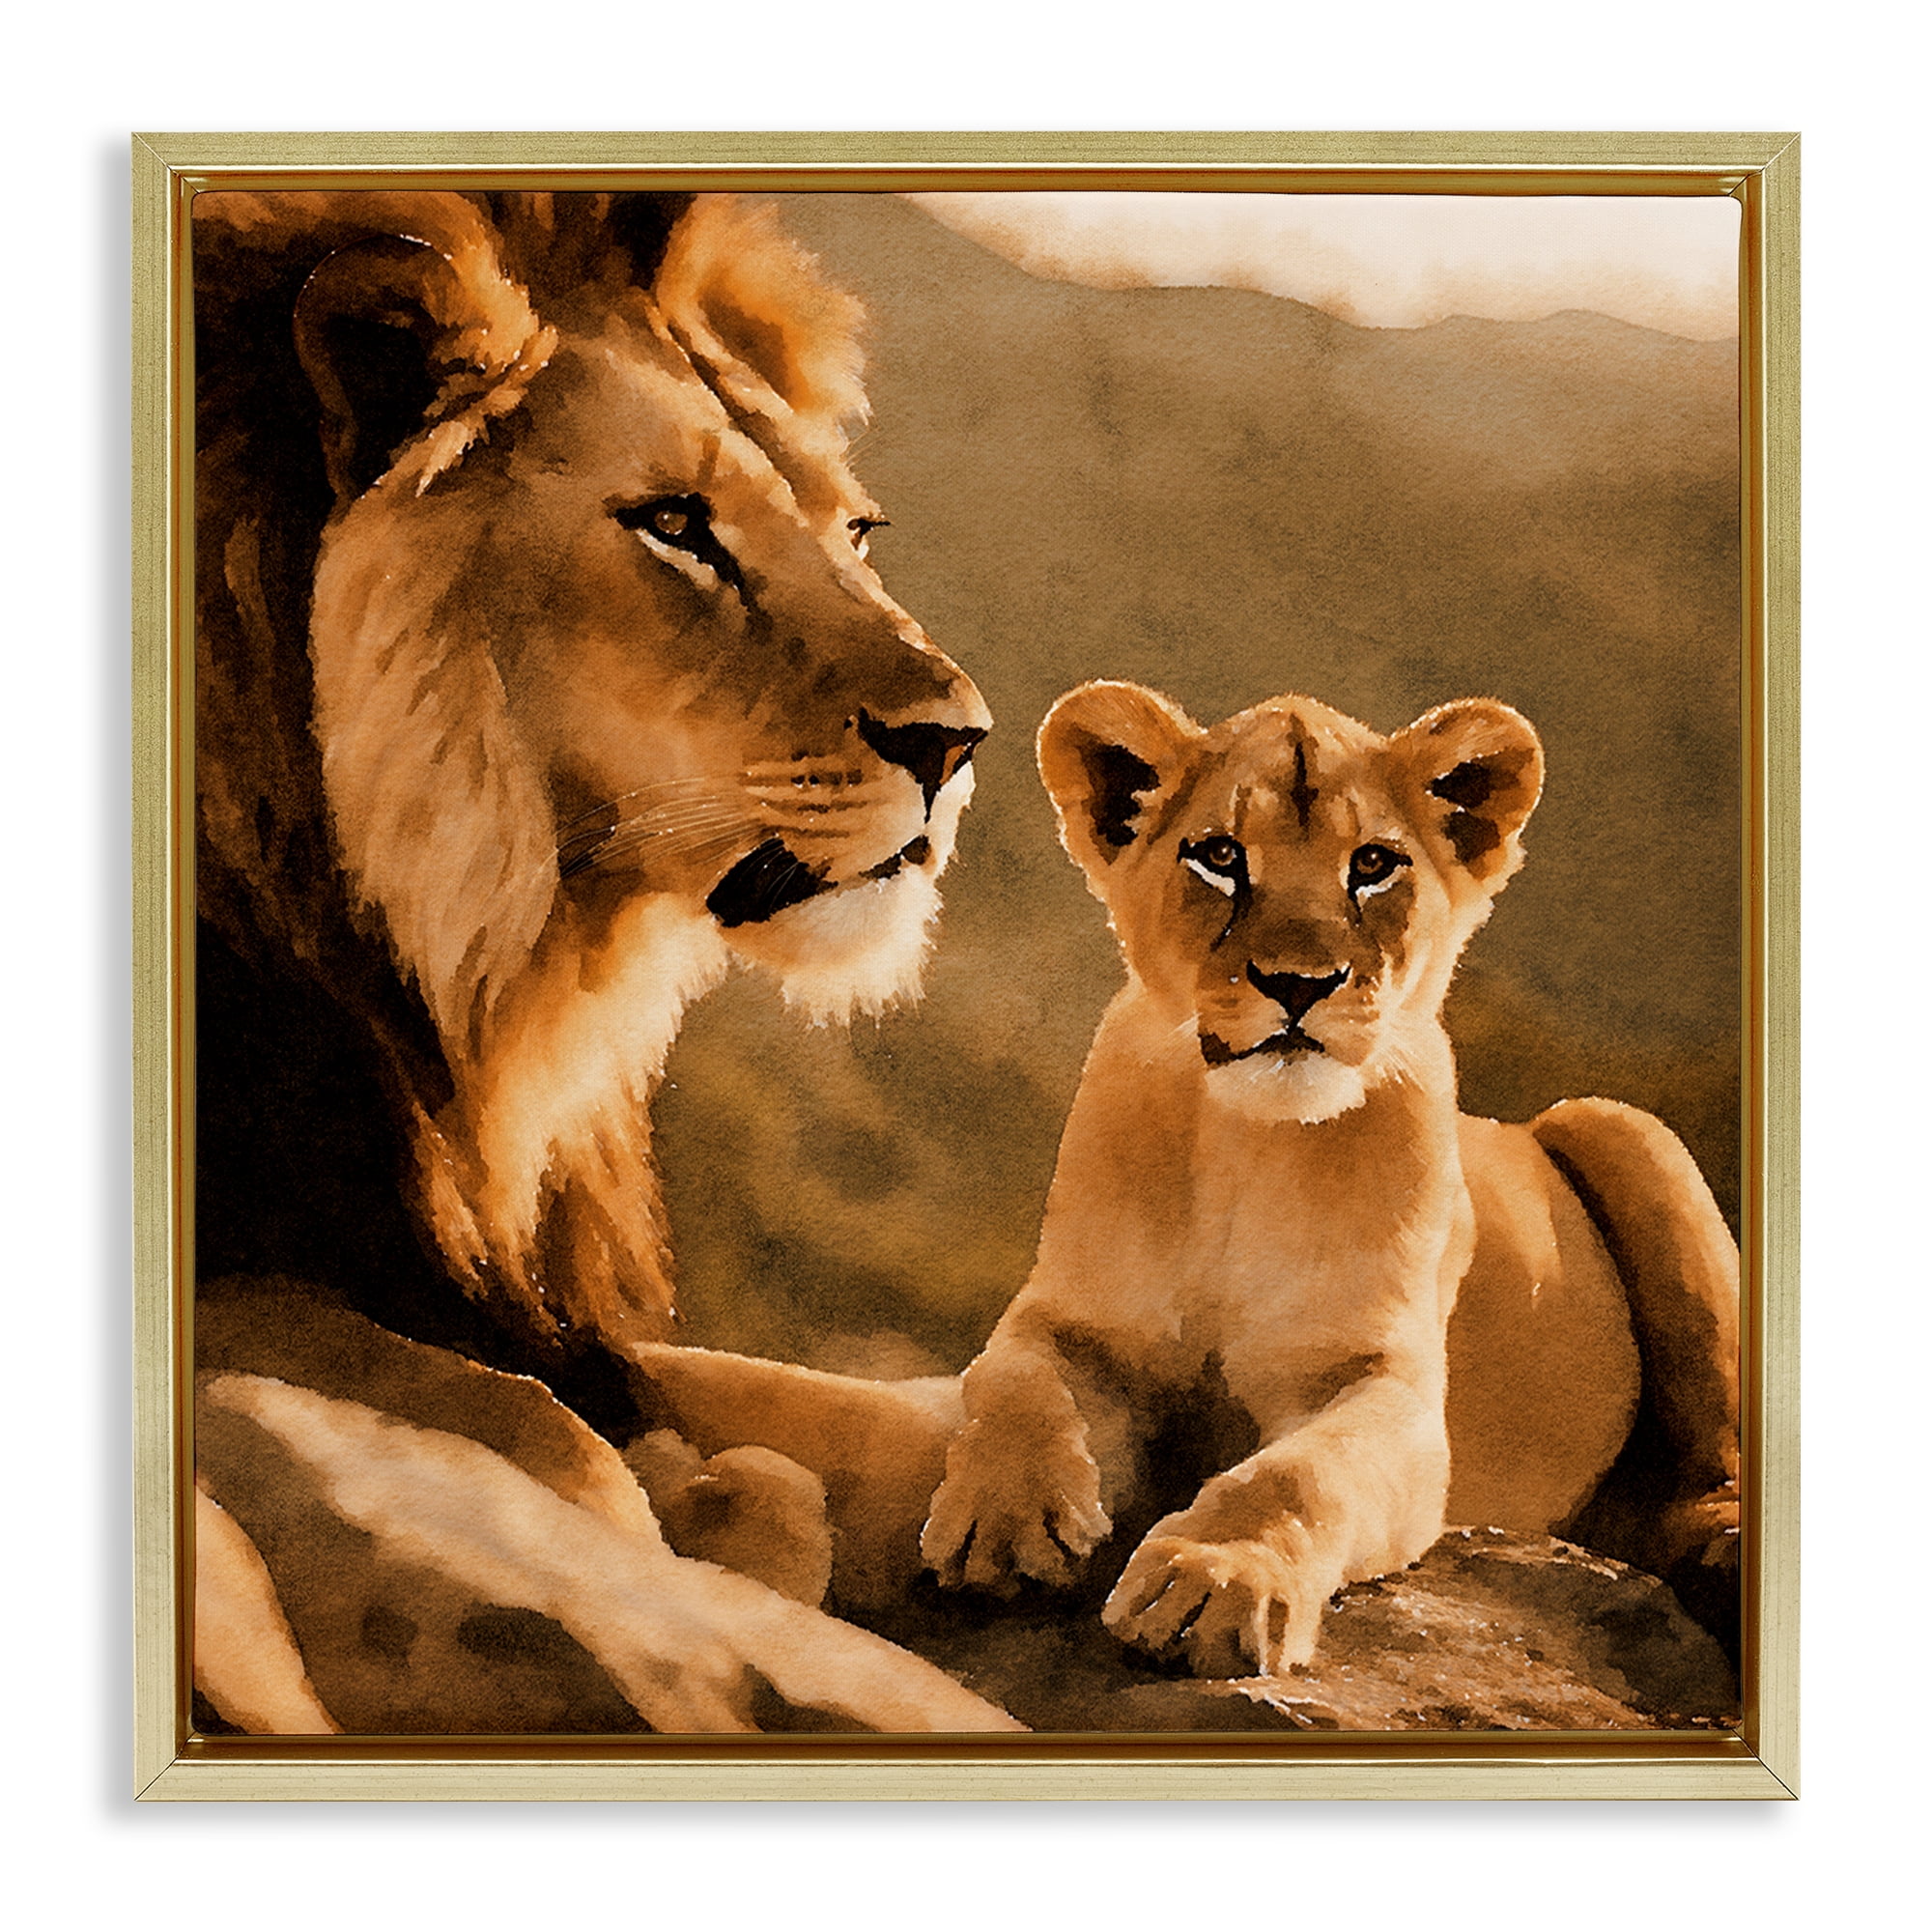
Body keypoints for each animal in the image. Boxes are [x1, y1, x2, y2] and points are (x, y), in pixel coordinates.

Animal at [191, 189, 1012, 1733]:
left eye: (855, 528)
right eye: (675, 525)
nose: (956, 742)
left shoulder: (523, 1301)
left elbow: (859, 1413)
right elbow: (558, 1446)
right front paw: (708, 1534)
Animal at [920, 681, 1740, 1679]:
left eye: (1374, 865)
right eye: (1220, 857)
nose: (1298, 982)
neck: (1251, 1147)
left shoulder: (1388, 1388)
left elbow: (1294, 1475)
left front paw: (1212, 1582)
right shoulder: (1072, 1319)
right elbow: (1014, 1386)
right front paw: (1003, 1523)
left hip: (1620, 1124)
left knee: (1718, 1462)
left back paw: (1719, 1543)